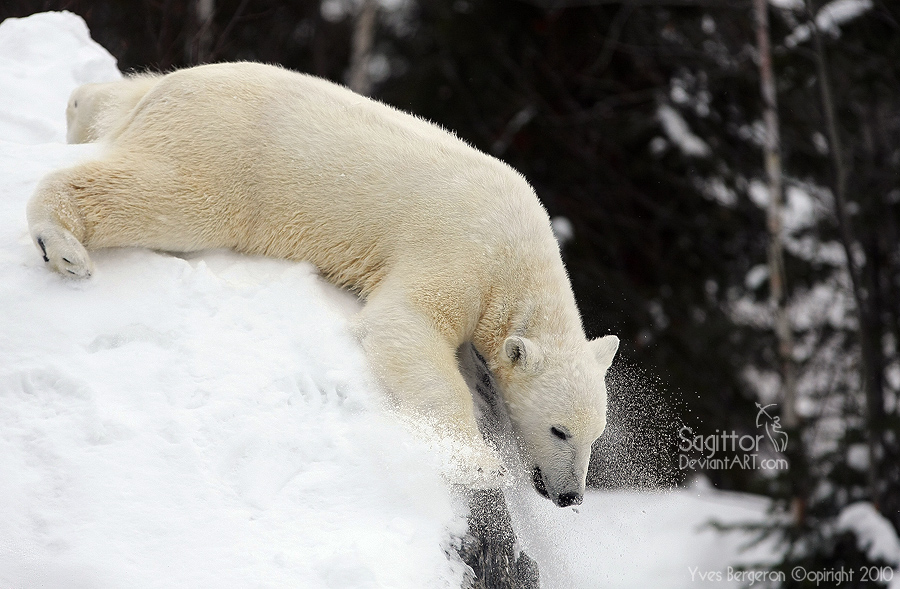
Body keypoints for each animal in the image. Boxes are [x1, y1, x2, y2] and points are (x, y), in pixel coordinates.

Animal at [26, 62, 620, 508]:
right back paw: (62, 245)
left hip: (168, 106)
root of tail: (172, 93)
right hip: (222, 158)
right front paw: (480, 464)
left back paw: (81, 112)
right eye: (559, 430)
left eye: (595, 436)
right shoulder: (461, 250)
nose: (570, 497)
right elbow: (403, 324)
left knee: (111, 99)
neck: (520, 254)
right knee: (169, 198)